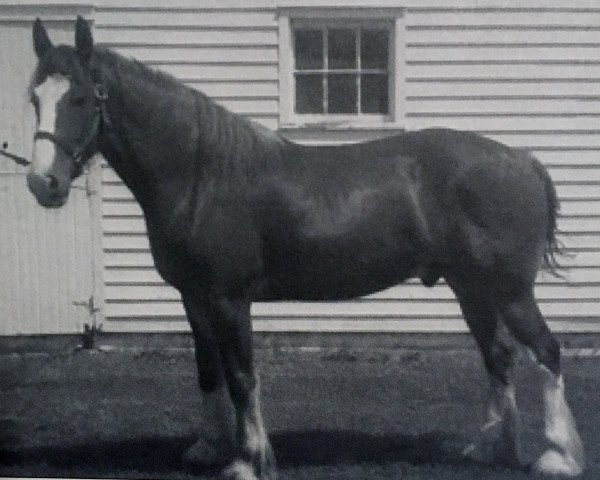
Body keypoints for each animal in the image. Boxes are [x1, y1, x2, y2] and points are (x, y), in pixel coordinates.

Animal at [25, 15, 584, 480]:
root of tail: (522, 159)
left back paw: (556, 457)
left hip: (509, 291)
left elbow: (242, 377)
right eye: (34, 98)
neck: (202, 173)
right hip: (473, 290)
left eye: (80, 97)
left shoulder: (229, 300)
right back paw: (495, 448)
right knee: (498, 357)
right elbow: (208, 371)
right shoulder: (194, 299)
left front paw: (248, 461)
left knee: (547, 352)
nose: (42, 183)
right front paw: (208, 449)